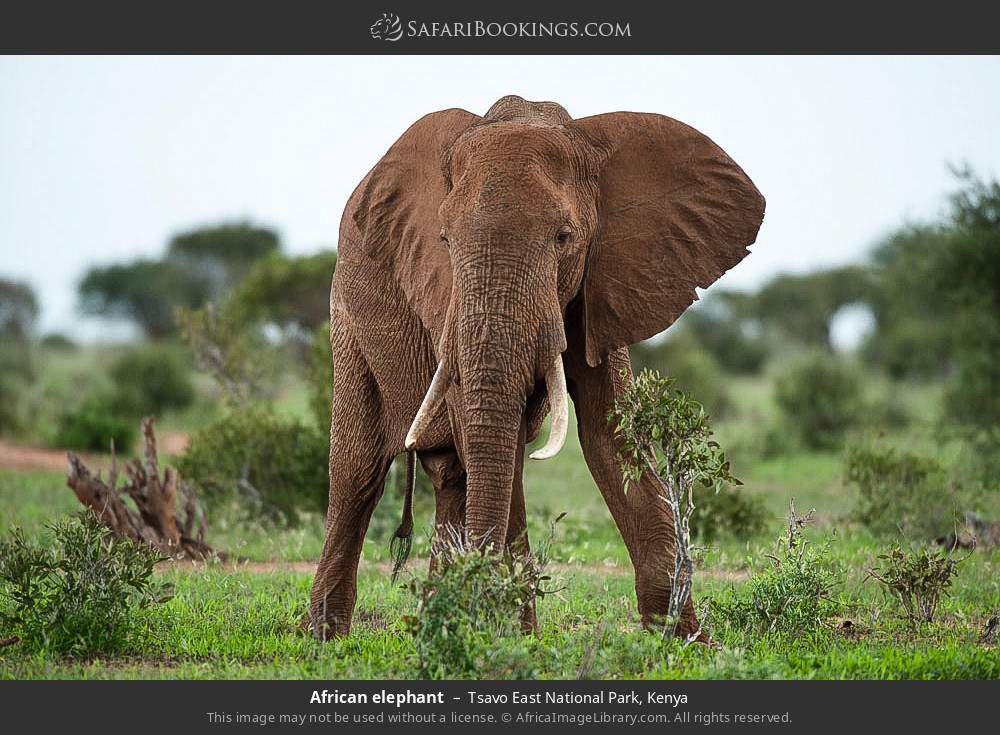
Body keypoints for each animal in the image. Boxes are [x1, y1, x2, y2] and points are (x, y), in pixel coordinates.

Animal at [307, 95, 764, 640]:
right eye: (444, 240)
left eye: (564, 237)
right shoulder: (445, 298)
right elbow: (490, 444)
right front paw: (515, 639)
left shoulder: (604, 283)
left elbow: (612, 437)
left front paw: (684, 641)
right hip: (347, 314)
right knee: (358, 474)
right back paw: (324, 636)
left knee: (454, 477)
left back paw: (435, 622)